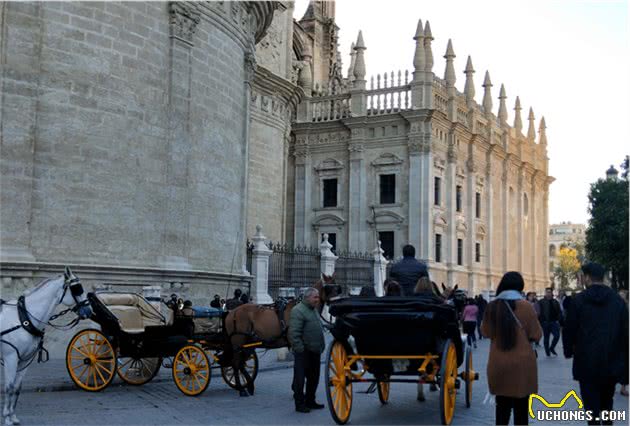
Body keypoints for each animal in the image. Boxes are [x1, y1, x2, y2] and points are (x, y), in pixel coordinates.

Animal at [0, 268, 91, 424]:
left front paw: (13, 416)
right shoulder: (10, 358)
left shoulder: (24, 360)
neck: (23, 318)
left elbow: (17, 388)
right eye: (77, 288)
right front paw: (7, 417)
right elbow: (9, 387)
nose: (89, 310)